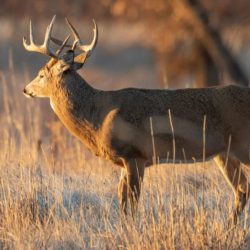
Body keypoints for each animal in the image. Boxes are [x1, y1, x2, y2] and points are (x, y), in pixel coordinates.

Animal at [23, 16, 250, 222]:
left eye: (41, 74)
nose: (26, 89)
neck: (98, 116)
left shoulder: (136, 154)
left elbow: (131, 201)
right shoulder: (125, 160)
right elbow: (122, 199)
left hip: (243, 147)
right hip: (225, 154)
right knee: (241, 189)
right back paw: (229, 226)